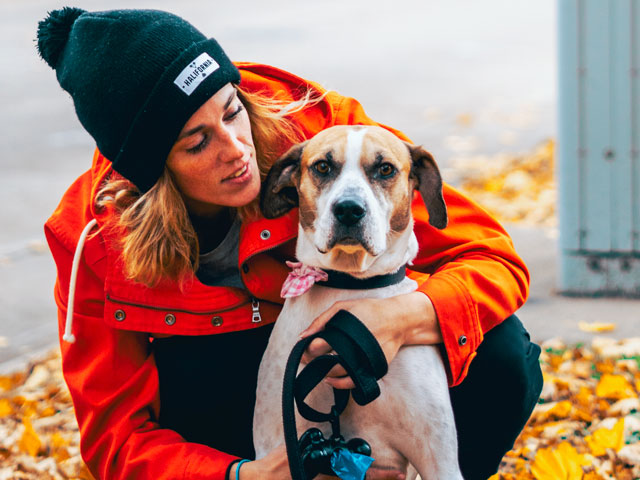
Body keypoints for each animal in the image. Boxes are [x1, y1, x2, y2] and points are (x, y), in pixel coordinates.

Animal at [252, 125, 462, 478]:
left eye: (385, 169)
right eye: (323, 166)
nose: (349, 209)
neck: (351, 286)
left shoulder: (440, 460)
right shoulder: (279, 445)